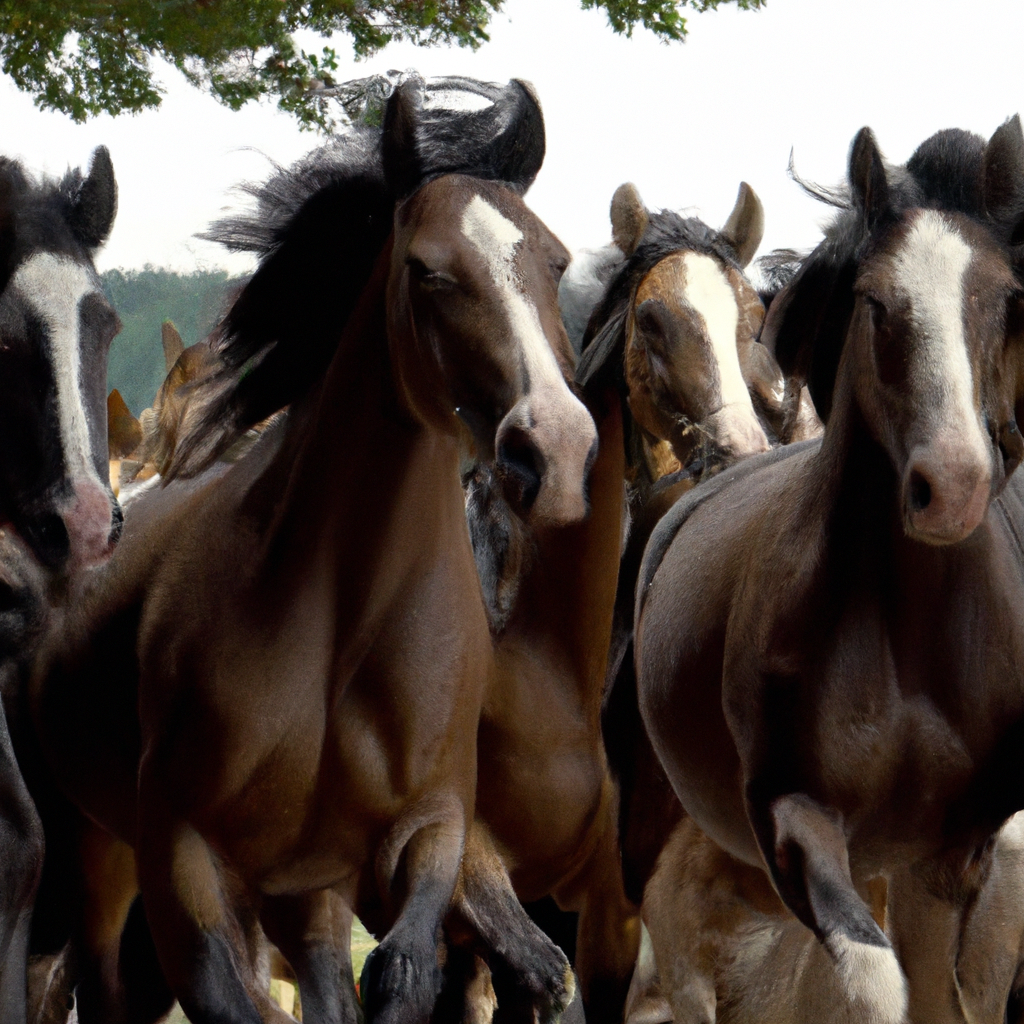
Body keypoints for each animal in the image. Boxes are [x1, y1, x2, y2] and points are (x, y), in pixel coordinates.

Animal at [29, 75, 593, 1024]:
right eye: (426, 269)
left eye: (553, 261)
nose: (550, 447)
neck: (344, 616)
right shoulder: (184, 857)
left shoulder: (428, 829)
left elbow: (400, 971)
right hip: (91, 856)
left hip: (304, 897)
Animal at [634, 116, 1024, 1024]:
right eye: (875, 302)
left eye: (1007, 301)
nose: (953, 485)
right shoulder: (795, 821)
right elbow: (873, 985)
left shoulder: (950, 856)